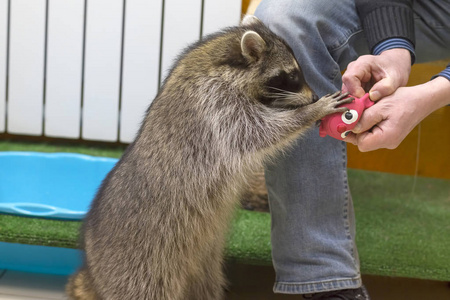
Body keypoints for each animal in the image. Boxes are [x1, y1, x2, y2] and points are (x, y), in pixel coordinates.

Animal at [67, 15, 354, 300]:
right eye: (292, 74)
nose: (313, 96)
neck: (223, 58)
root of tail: (93, 272)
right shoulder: (216, 104)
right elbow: (258, 132)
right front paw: (310, 111)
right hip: (138, 267)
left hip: (203, 264)